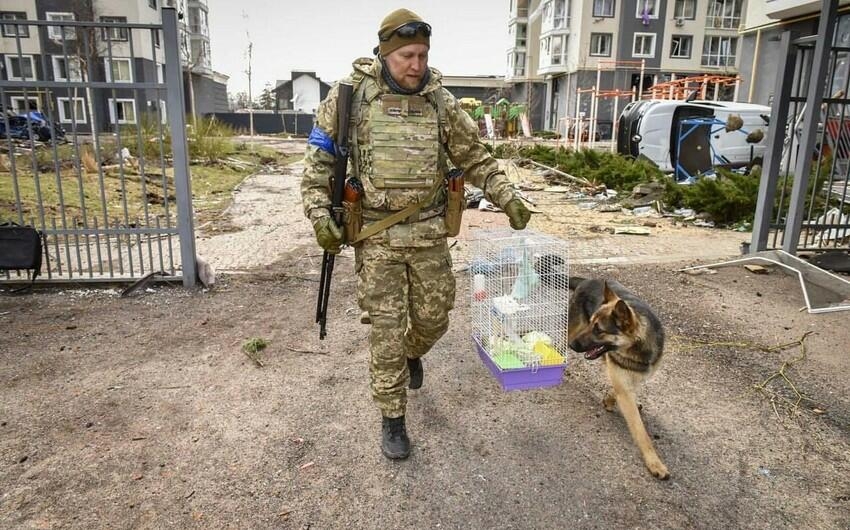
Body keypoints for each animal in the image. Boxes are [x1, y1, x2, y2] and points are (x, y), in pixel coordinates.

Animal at [564, 276, 668, 478]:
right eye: (591, 323)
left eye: (598, 330)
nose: (573, 345)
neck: (636, 350)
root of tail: (590, 279)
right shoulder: (623, 383)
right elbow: (641, 431)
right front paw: (655, 463)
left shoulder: (633, 379)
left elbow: (619, 390)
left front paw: (609, 400)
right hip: (571, 329)